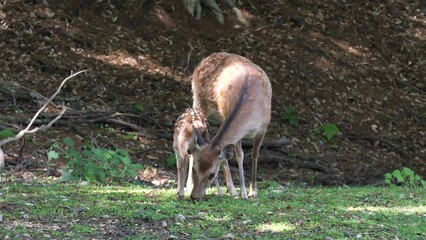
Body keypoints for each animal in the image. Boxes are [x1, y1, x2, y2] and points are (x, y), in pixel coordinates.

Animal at [191, 52, 272, 201]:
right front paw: (243, 192)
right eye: (195, 168)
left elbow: (254, 155)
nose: (195, 197)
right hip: (199, 101)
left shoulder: (263, 128)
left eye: (211, 174)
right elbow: (239, 155)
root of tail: (205, 59)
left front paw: (252, 191)